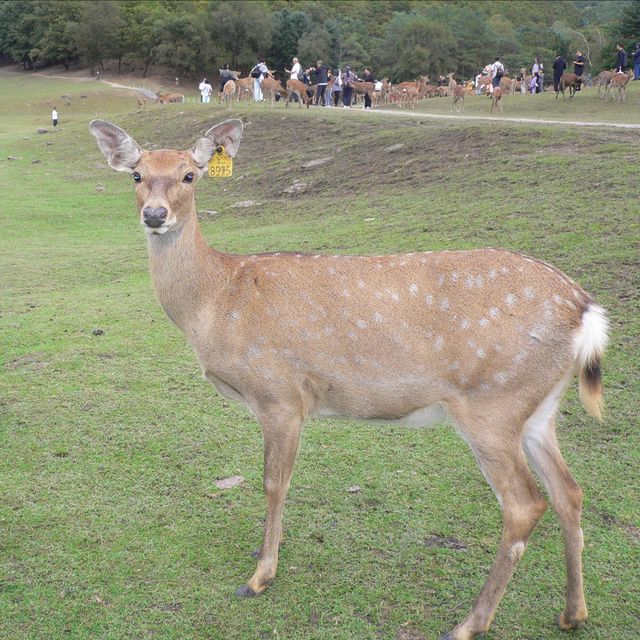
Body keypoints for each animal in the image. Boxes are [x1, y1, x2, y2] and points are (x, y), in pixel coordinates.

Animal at [87, 119, 608, 640]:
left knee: (524, 504)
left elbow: (274, 482)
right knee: (569, 492)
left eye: (190, 175)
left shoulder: (279, 393)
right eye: (136, 175)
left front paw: (260, 575)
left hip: (491, 402)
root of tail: (587, 313)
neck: (219, 302)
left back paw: (469, 623)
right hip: (537, 408)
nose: (155, 214)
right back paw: (572, 612)